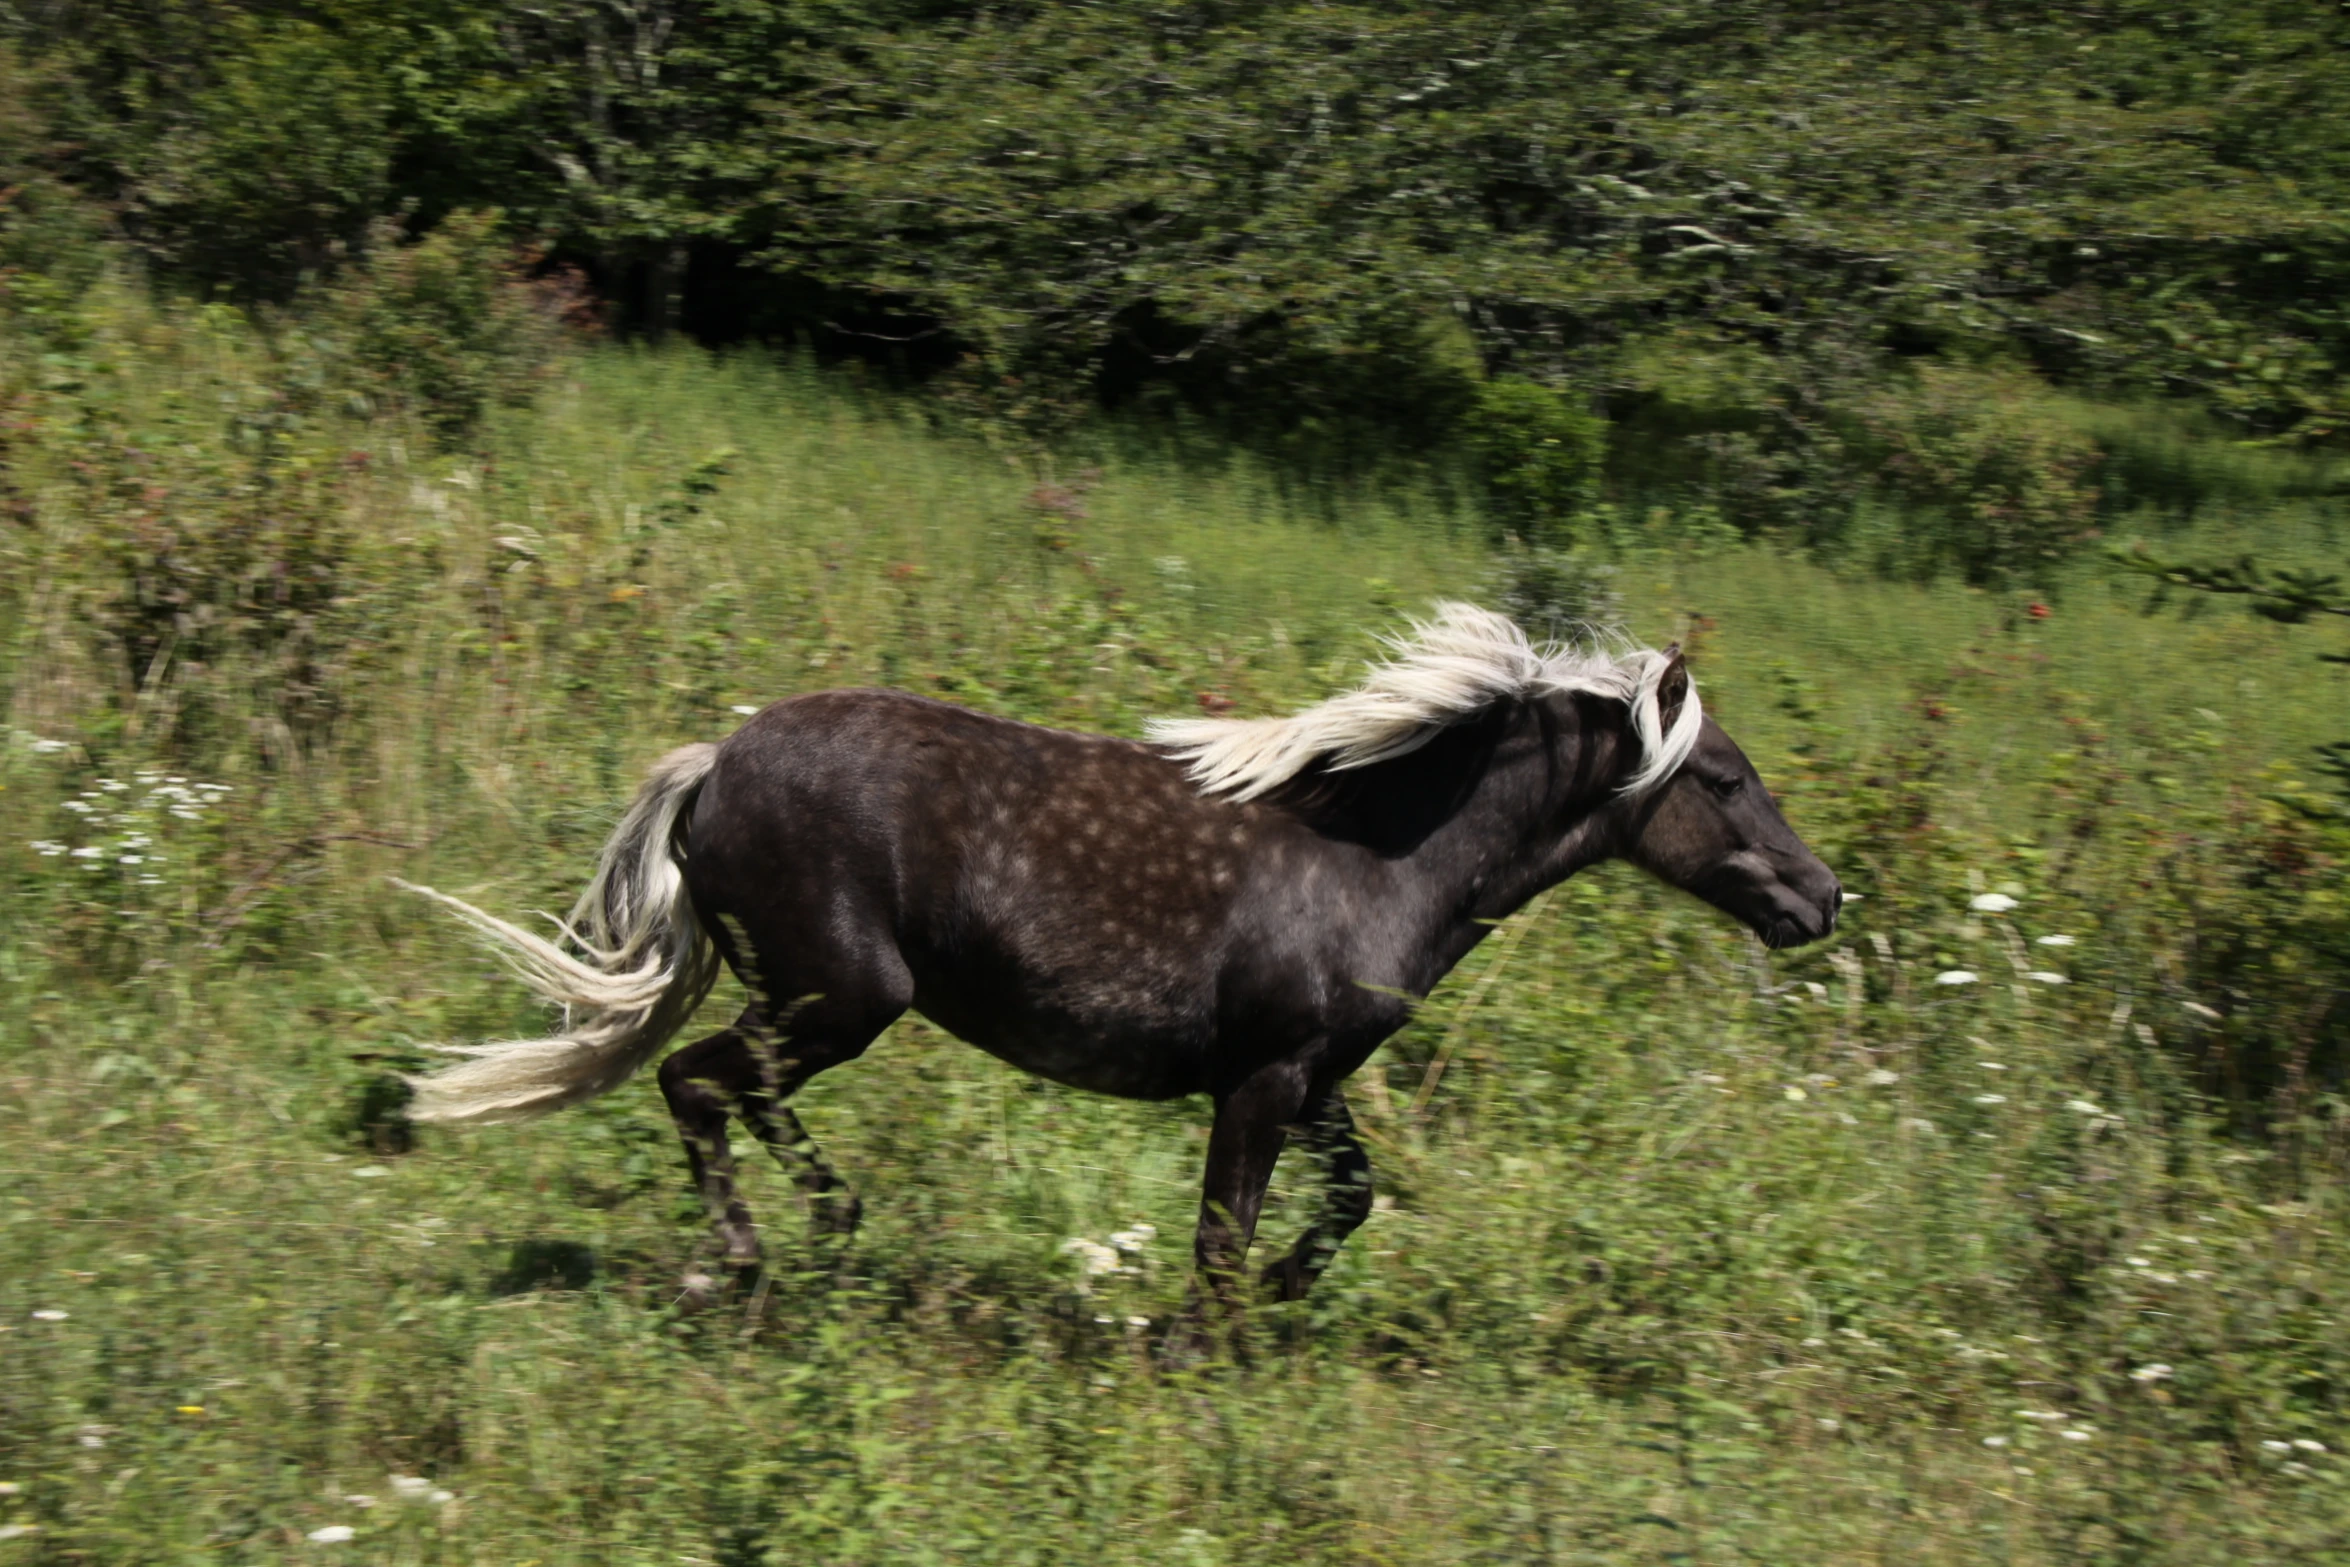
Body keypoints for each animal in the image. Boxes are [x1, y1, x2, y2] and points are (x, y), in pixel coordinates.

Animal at [399, 606, 1832, 1315]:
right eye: (1723, 778)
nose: (1820, 897)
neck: (1379, 854)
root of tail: (714, 764)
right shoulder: (1259, 1085)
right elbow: (1217, 1243)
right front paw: (1202, 1351)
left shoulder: (1310, 1078)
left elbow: (1350, 1201)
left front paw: (1285, 1301)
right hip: (840, 998)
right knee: (699, 1085)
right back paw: (757, 1256)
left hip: (818, 1003)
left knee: (718, 1091)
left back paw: (812, 1235)